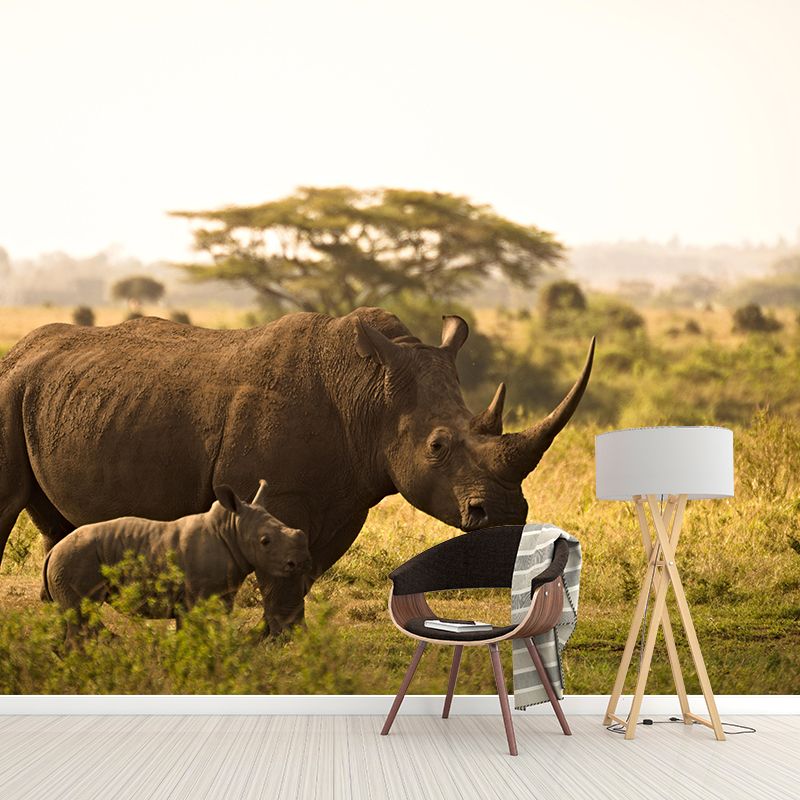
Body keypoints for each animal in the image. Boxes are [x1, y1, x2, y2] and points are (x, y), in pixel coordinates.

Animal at [41, 481, 311, 632]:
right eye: (265, 542)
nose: (300, 562)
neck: (230, 529)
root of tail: (53, 552)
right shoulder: (199, 597)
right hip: (74, 560)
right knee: (81, 616)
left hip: (67, 562)